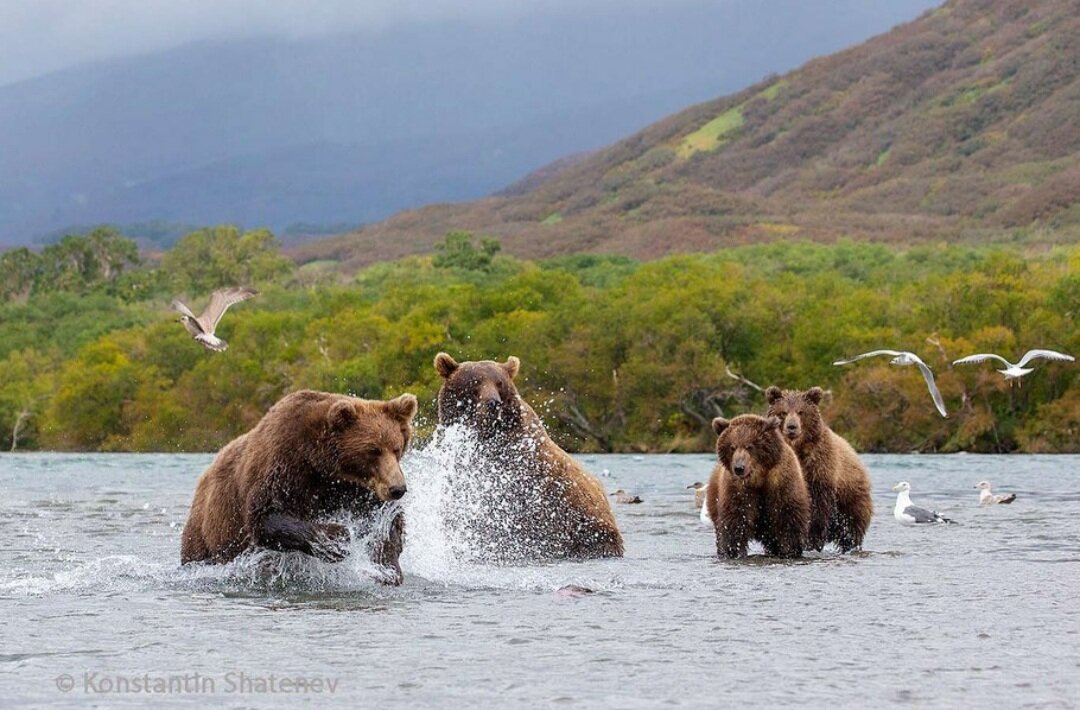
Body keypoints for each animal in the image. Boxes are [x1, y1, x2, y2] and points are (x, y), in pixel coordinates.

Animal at [181, 386, 416, 583]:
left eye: (396, 448)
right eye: (373, 451)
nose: (397, 489)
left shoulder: (356, 490)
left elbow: (389, 521)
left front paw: (387, 567)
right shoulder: (283, 466)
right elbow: (266, 516)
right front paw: (337, 539)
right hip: (208, 531)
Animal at [704, 412, 807, 557]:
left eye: (750, 446)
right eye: (732, 447)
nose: (739, 468)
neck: (758, 477)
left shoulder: (781, 481)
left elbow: (787, 518)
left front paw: (789, 550)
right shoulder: (737, 489)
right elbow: (735, 521)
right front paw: (733, 551)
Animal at [764, 384, 872, 551]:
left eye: (801, 412)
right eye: (783, 412)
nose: (792, 427)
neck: (798, 447)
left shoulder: (819, 466)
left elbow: (817, 507)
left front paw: (811, 540)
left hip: (851, 496)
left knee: (852, 526)